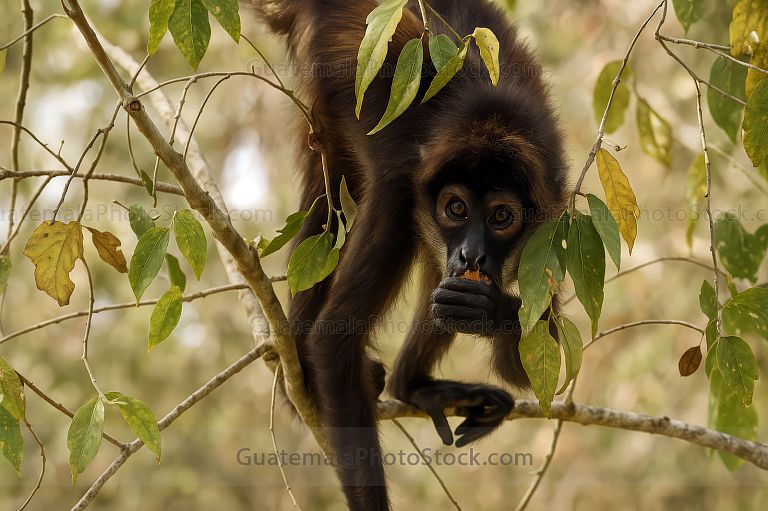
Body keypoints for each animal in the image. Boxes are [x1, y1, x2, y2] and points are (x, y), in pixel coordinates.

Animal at [249, 0, 568, 509]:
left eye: (502, 216)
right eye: (456, 208)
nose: (472, 255)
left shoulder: (555, 210)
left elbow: (532, 373)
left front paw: (494, 310)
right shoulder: (400, 194)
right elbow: (334, 341)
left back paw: (413, 385)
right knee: (329, 210)